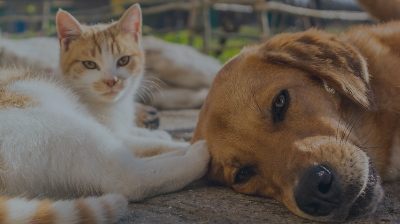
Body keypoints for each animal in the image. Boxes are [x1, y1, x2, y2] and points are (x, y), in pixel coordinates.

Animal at [0, 3, 211, 224]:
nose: (111, 81)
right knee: (128, 177)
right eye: (90, 64)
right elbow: (150, 144)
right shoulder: (109, 129)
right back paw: (198, 152)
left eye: (124, 61)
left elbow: (147, 140)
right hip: (59, 124)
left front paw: (159, 133)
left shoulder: (119, 130)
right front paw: (170, 140)